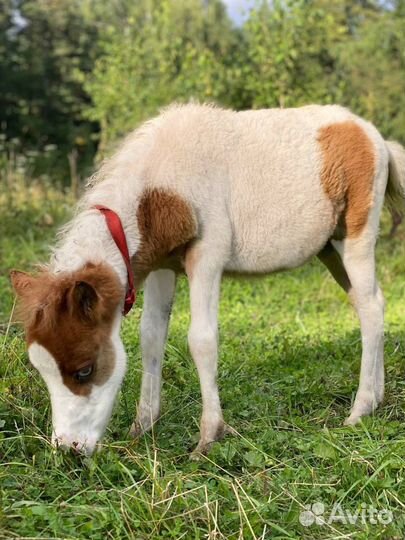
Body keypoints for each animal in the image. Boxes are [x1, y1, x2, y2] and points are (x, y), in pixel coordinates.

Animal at [10, 102, 404, 456]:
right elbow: (151, 336)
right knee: (372, 304)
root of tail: (376, 139)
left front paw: (209, 437)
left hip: (356, 236)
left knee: (370, 307)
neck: (159, 190)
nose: (69, 449)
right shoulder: (162, 265)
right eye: (40, 368)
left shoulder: (207, 257)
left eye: (84, 370)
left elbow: (201, 340)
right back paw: (378, 398)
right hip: (329, 248)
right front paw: (142, 427)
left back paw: (359, 410)